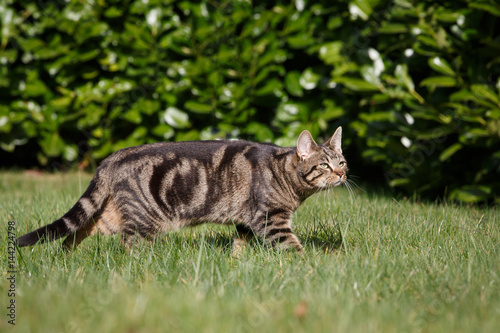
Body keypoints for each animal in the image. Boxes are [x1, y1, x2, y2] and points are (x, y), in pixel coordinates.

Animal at [16, 127, 348, 252]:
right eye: (324, 166)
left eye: (342, 161)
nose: (343, 174)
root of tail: (112, 158)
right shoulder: (271, 218)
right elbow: (292, 247)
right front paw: (310, 265)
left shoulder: (246, 220)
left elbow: (239, 245)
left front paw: (238, 262)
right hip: (144, 220)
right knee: (128, 245)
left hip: (111, 215)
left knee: (78, 229)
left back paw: (66, 255)